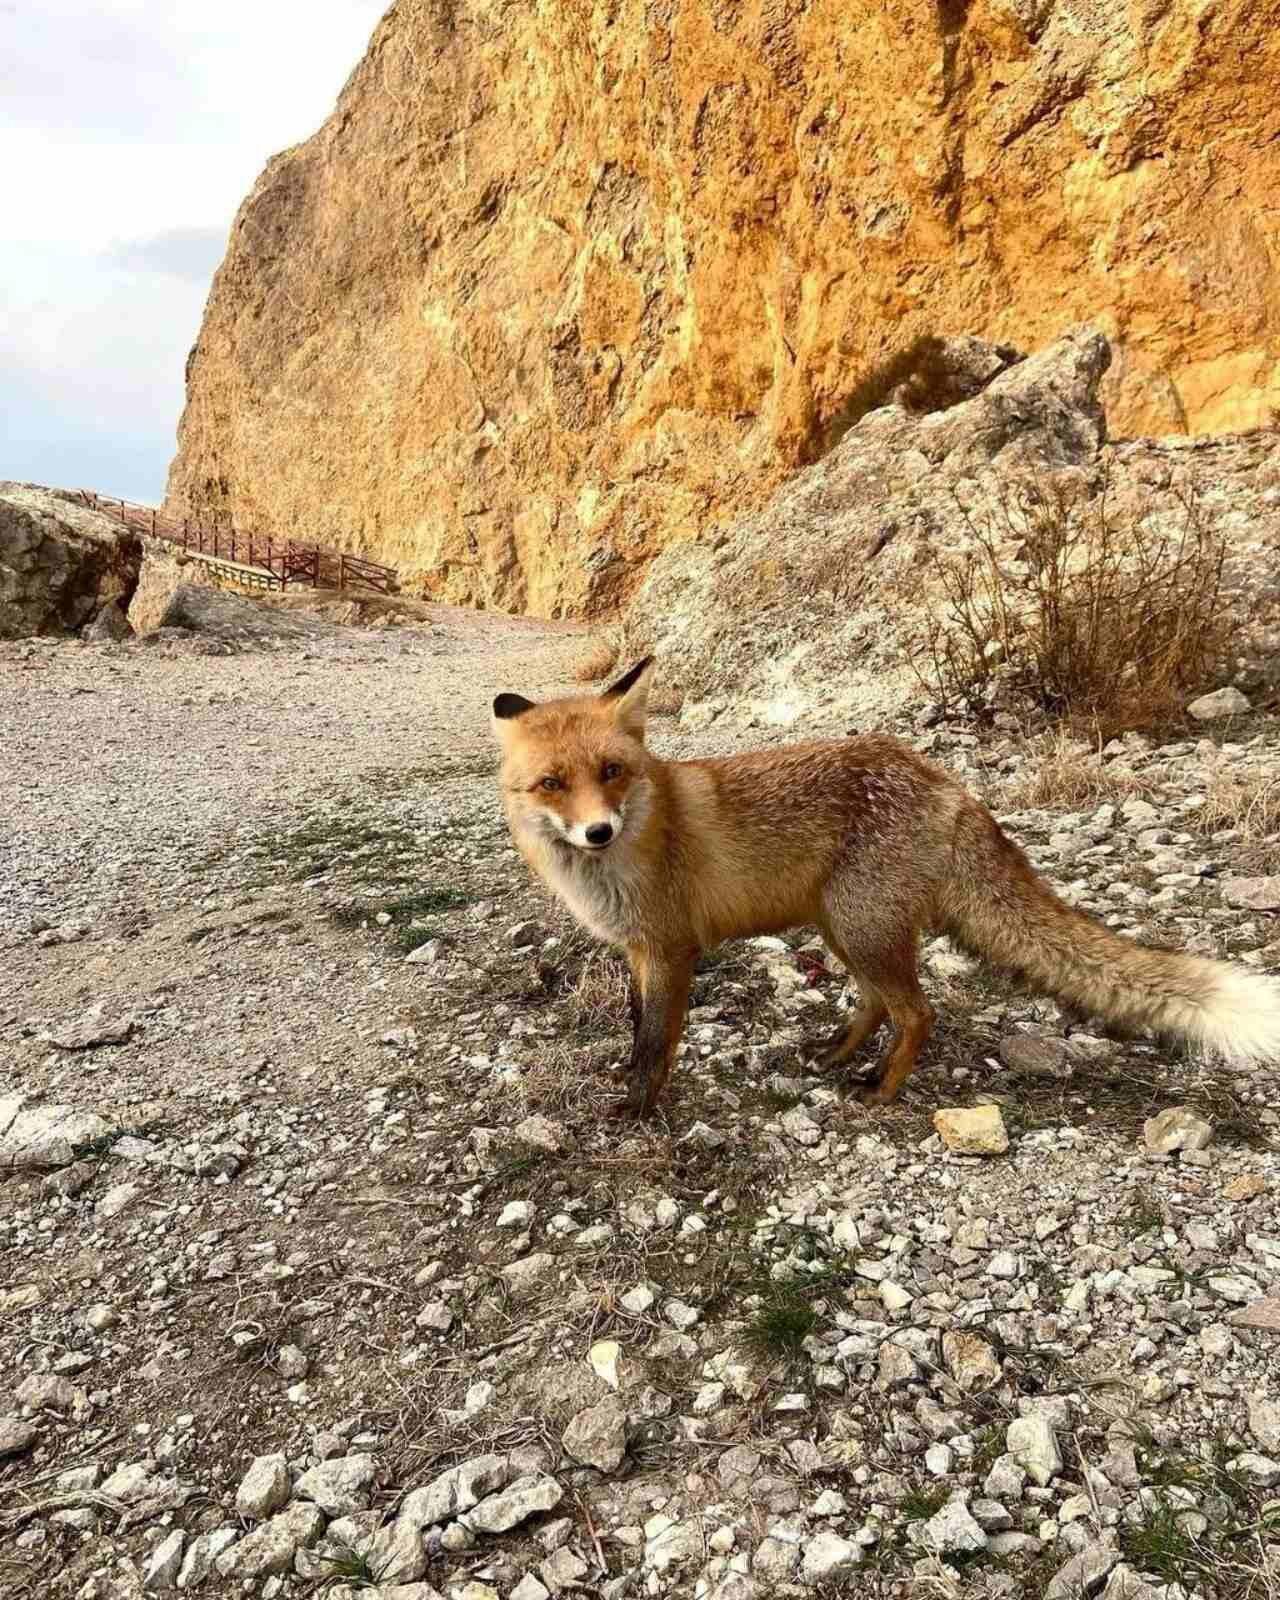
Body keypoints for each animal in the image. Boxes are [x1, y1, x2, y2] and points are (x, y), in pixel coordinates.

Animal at [486, 656, 1280, 1120]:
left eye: (612, 771)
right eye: (552, 784)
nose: (598, 832)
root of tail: (951, 785)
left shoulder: (673, 949)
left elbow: (656, 1041)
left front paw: (638, 1110)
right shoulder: (636, 951)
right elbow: (633, 1026)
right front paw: (626, 1082)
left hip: (862, 928)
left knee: (919, 1013)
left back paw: (881, 1089)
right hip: (846, 928)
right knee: (877, 1004)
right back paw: (837, 1056)